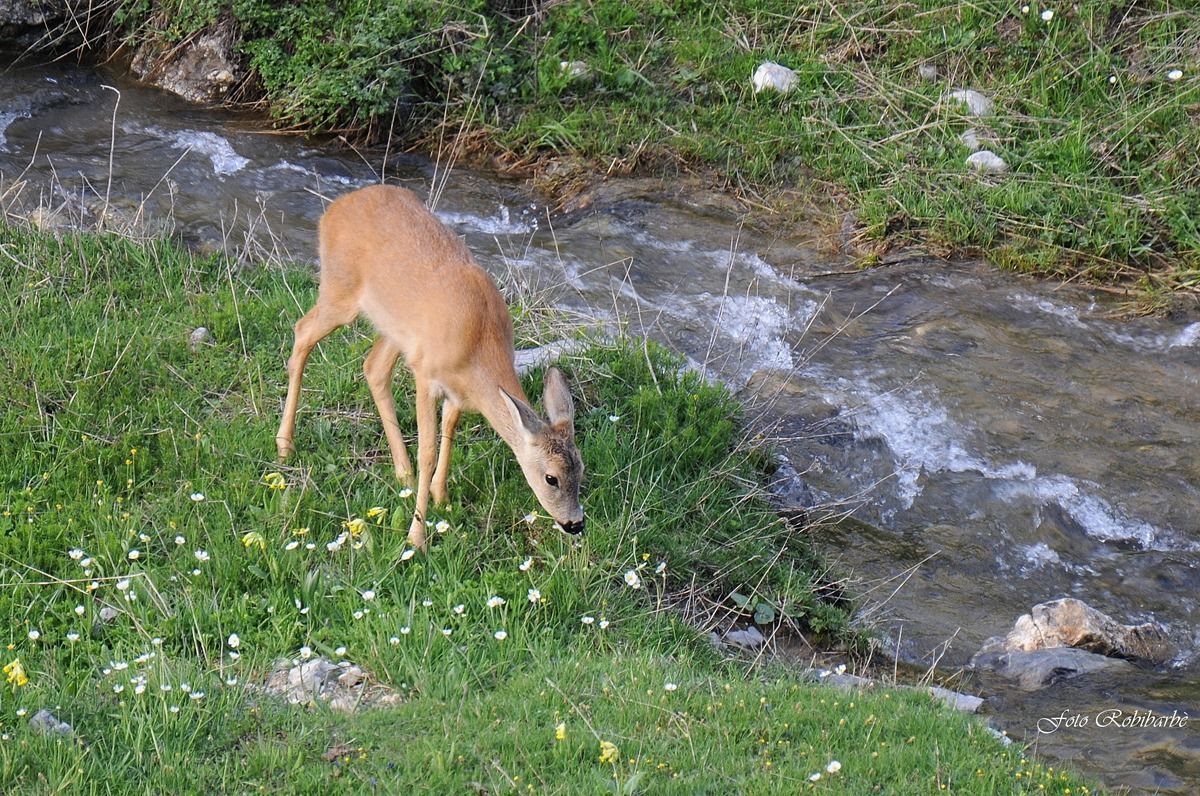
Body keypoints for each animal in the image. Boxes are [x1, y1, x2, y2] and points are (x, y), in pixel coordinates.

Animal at [275, 184, 584, 551]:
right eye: (551, 478)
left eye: (581, 469)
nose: (575, 524)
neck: (480, 340)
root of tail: (334, 208)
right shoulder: (426, 374)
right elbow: (429, 450)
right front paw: (417, 537)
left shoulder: (455, 387)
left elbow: (449, 428)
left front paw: (441, 495)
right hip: (339, 291)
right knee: (302, 331)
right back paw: (285, 444)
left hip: (394, 329)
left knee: (373, 367)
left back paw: (402, 471)